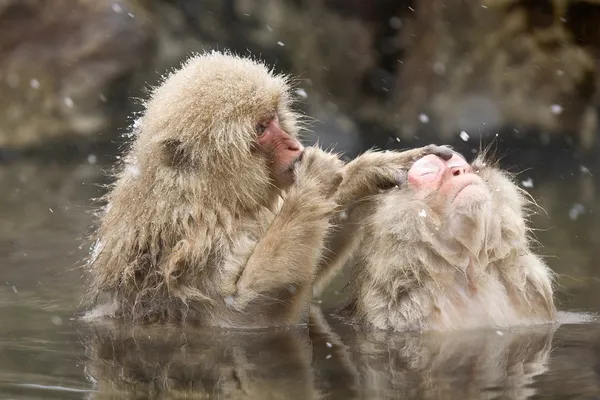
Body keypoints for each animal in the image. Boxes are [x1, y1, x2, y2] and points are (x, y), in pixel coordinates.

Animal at [82, 50, 452, 326]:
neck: (209, 196)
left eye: (274, 116)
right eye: (261, 129)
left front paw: (366, 173)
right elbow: (244, 313)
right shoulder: (196, 244)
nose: (292, 145)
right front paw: (313, 183)